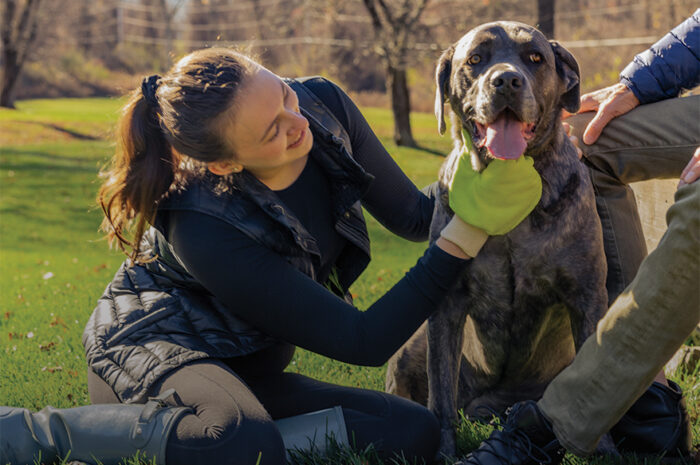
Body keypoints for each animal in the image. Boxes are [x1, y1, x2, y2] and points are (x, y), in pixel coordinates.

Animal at [386, 22, 608, 456]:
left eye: (535, 58)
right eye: (475, 59)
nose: (506, 80)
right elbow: (440, 397)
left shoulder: (586, 295)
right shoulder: (446, 307)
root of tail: (490, 411)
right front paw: (444, 451)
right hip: (408, 351)